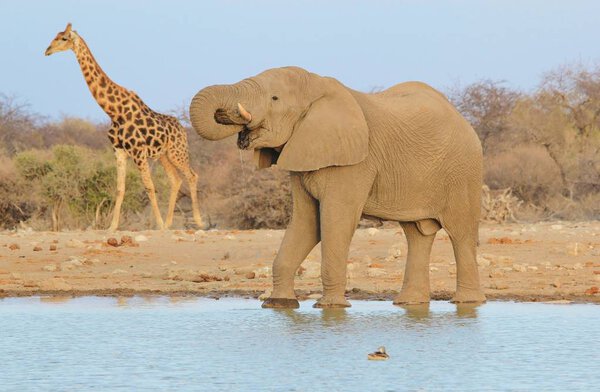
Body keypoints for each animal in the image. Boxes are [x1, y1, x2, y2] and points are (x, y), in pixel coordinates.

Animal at [44, 23, 206, 231]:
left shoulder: (137, 152)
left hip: (178, 152)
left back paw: (198, 222)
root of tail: (182, 129)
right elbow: (120, 188)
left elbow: (149, 186)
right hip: (163, 155)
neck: (114, 111)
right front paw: (112, 227)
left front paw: (158, 224)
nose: (47, 50)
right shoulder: (119, 151)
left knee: (192, 175)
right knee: (176, 179)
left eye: (63, 38)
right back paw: (169, 223)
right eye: (55, 36)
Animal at [190, 66, 486, 308]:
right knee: (417, 234)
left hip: (463, 173)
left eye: (274, 98)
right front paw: (278, 305)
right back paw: (408, 304)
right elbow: (306, 222)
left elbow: (335, 222)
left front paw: (330, 307)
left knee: (460, 233)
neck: (317, 86)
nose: (241, 130)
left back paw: (466, 303)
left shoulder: (354, 162)